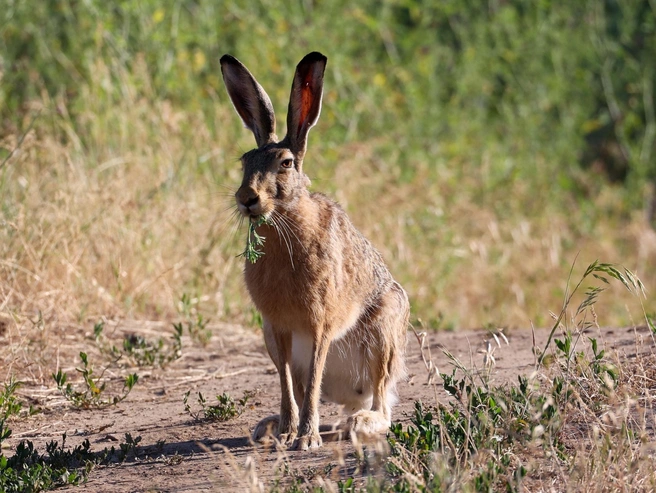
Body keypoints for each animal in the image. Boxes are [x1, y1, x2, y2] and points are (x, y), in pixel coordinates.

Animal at [220, 52, 409, 450]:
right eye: (245, 161)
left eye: (286, 163)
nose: (247, 198)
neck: (283, 221)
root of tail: (354, 394)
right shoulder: (276, 328)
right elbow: (286, 382)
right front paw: (289, 431)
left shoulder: (320, 322)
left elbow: (311, 381)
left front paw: (305, 438)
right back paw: (271, 427)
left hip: (384, 334)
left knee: (383, 403)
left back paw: (360, 423)